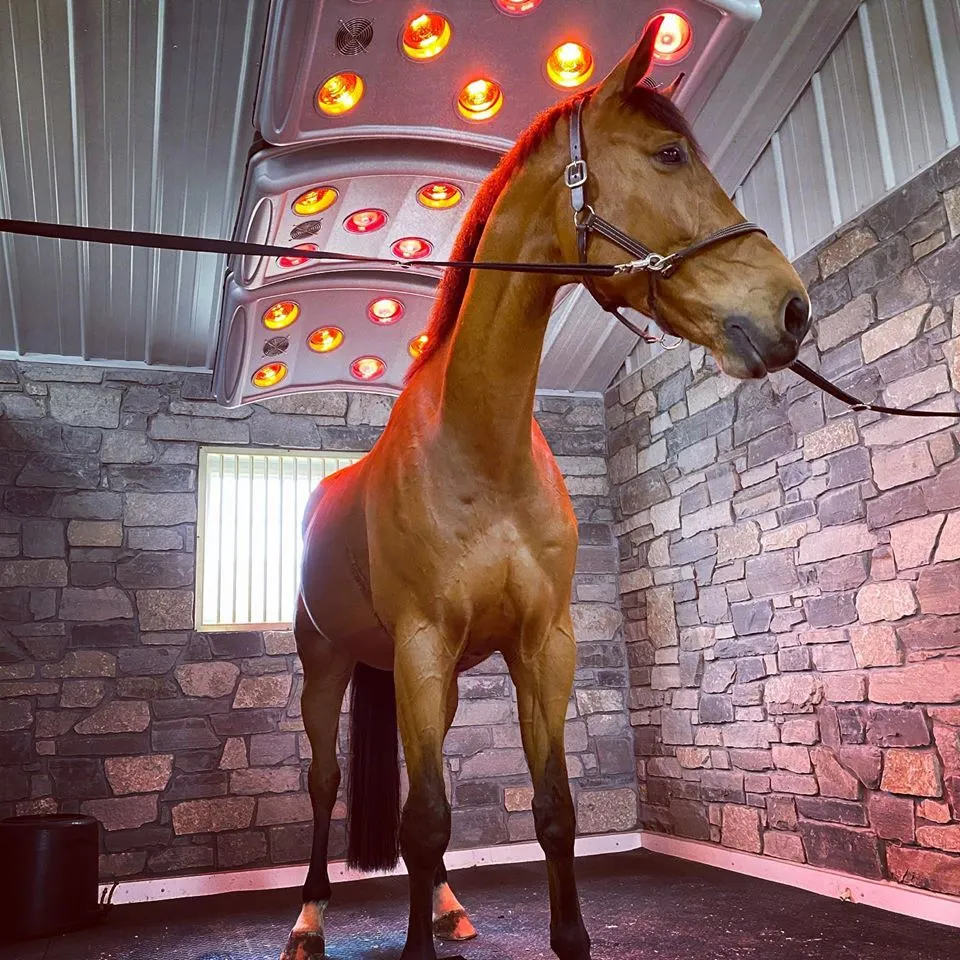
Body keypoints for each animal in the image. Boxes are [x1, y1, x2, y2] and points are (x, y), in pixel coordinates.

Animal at [280, 19, 811, 960]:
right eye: (669, 153)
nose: (791, 309)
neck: (479, 446)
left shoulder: (541, 646)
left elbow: (552, 811)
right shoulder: (421, 646)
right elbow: (424, 820)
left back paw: (445, 904)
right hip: (328, 665)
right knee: (324, 781)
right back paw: (308, 917)